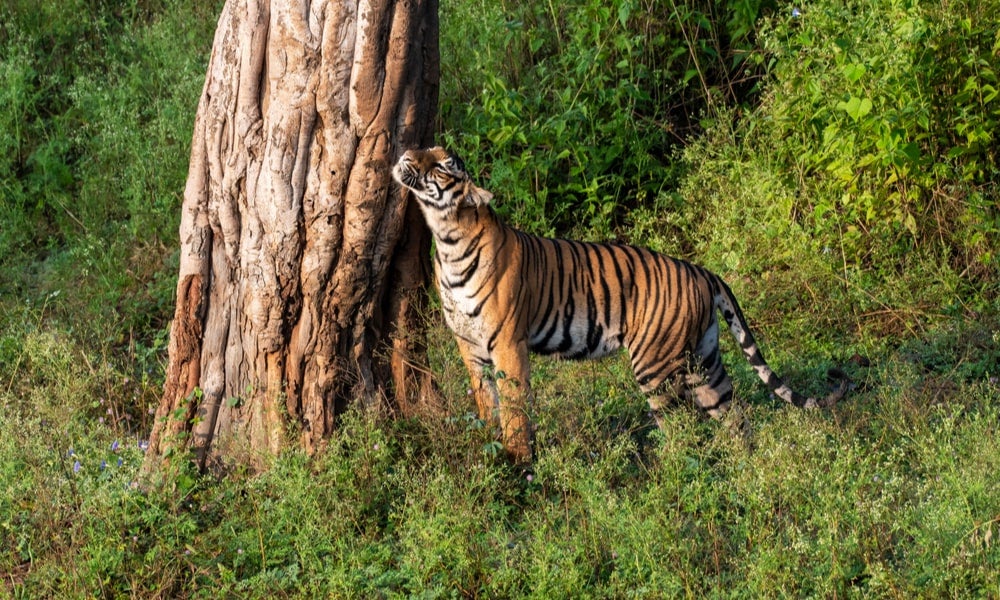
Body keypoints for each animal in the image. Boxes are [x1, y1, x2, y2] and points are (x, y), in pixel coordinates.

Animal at [390, 148, 844, 462]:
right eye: (426, 149)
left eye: (441, 164)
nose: (405, 154)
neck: (447, 240)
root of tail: (701, 271)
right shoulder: (469, 347)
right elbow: (486, 402)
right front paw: (490, 444)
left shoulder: (507, 345)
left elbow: (516, 409)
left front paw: (518, 463)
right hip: (705, 358)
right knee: (733, 416)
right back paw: (745, 466)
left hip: (655, 365)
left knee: (679, 428)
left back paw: (668, 479)